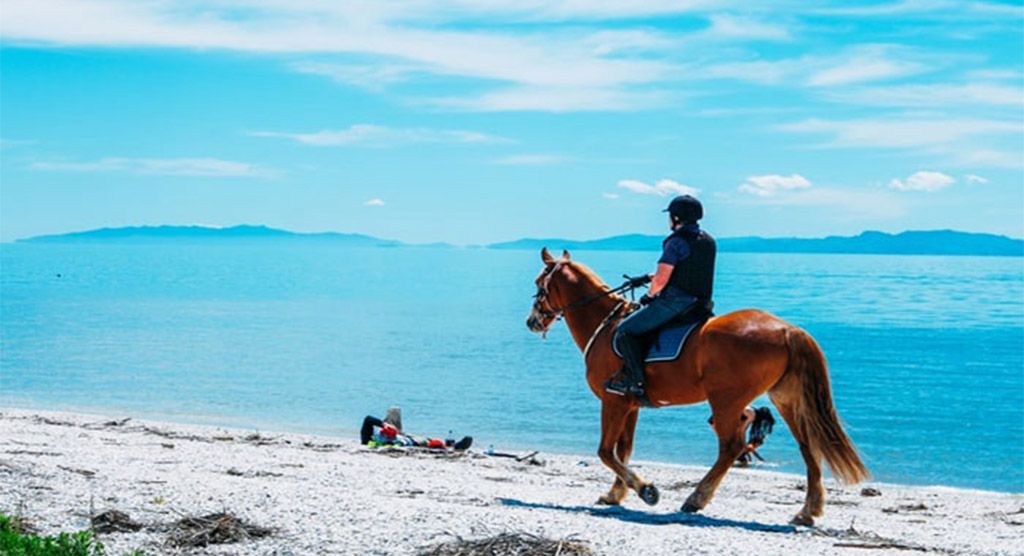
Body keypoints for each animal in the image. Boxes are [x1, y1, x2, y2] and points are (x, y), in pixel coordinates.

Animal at [525, 248, 869, 526]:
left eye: (539, 284)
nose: (532, 322)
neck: (607, 326)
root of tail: (787, 330)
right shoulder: (630, 404)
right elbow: (623, 450)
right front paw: (616, 494)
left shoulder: (613, 401)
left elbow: (605, 451)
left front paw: (646, 490)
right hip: (786, 399)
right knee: (806, 445)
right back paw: (808, 510)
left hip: (726, 401)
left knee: (731, 447)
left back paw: (696, 499)